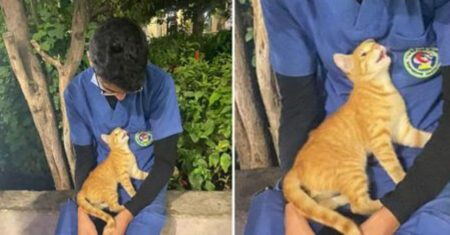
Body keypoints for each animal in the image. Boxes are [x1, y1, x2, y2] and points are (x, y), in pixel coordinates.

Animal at [284, 39, 430, 234]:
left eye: (374, 42)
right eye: (364, 53)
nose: (378, 46)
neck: (381, 89)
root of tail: (296, 167)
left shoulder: (403, 130)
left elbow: (420, 138)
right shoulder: (380, 142)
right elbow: (393, 166)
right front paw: (402, 179)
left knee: (319, 204)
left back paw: (339, 200)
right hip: (353, 170)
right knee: (358, 206)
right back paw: (380, 203)